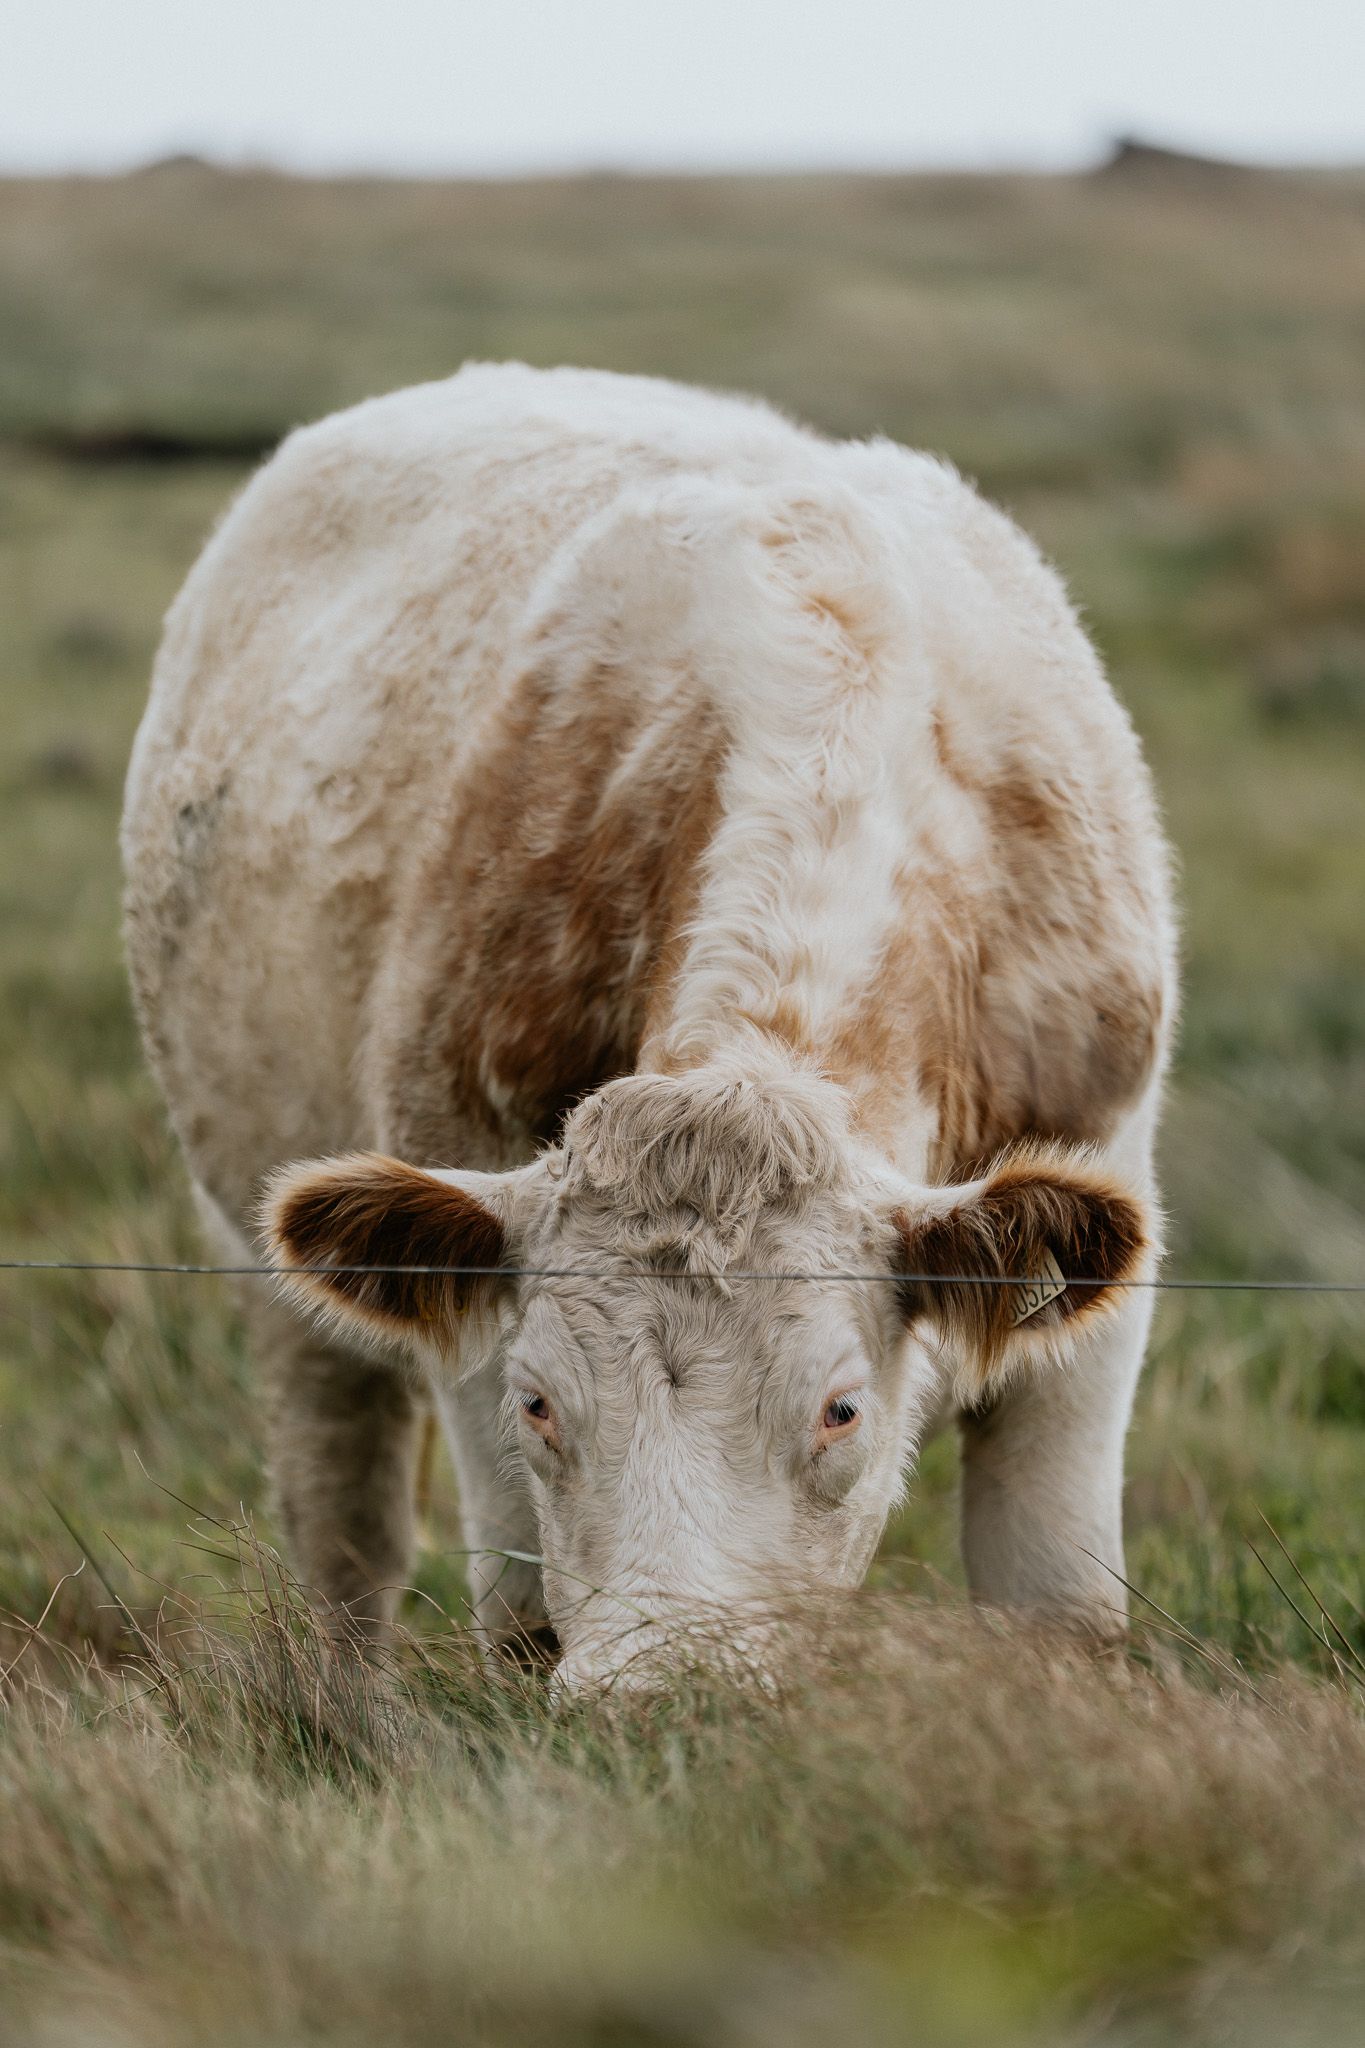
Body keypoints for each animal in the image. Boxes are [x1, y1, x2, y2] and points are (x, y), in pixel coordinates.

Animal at [122, 363, 1174, 1688]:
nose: (665, 1690)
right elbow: (520, 1612)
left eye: (839, 1407)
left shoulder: (1097, 1246)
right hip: (267, 1259)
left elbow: (1061, 1610)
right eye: (537, 1403)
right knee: (344, 1529)